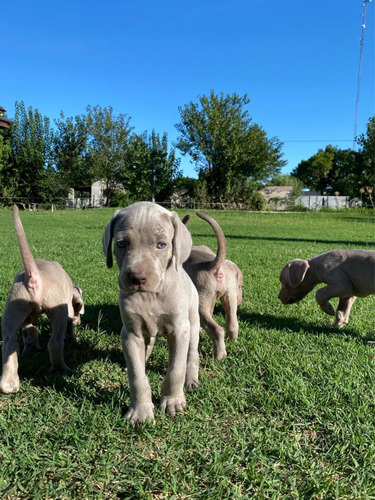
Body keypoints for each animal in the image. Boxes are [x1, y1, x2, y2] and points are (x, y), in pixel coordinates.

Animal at [0, 207, 84, 394]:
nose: (79, 322)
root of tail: (35, 277)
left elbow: (30, 329)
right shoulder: (66, 310)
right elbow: (68, 326)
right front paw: (73, 337)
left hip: (15, 307)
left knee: (10, 344)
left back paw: (9, 385)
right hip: (57, 310)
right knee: (55, 342)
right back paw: (61, 368)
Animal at [101, 201, 201, 424]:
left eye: (161, 245)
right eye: (121, 244)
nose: (137, 278)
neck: (150, 297)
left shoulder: (179, 330)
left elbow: (176, 369)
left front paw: (173, 401)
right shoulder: (131, 333)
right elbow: (137, 376)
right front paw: (141, 411)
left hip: (193, 322)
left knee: (192, 353)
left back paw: (191, 379)